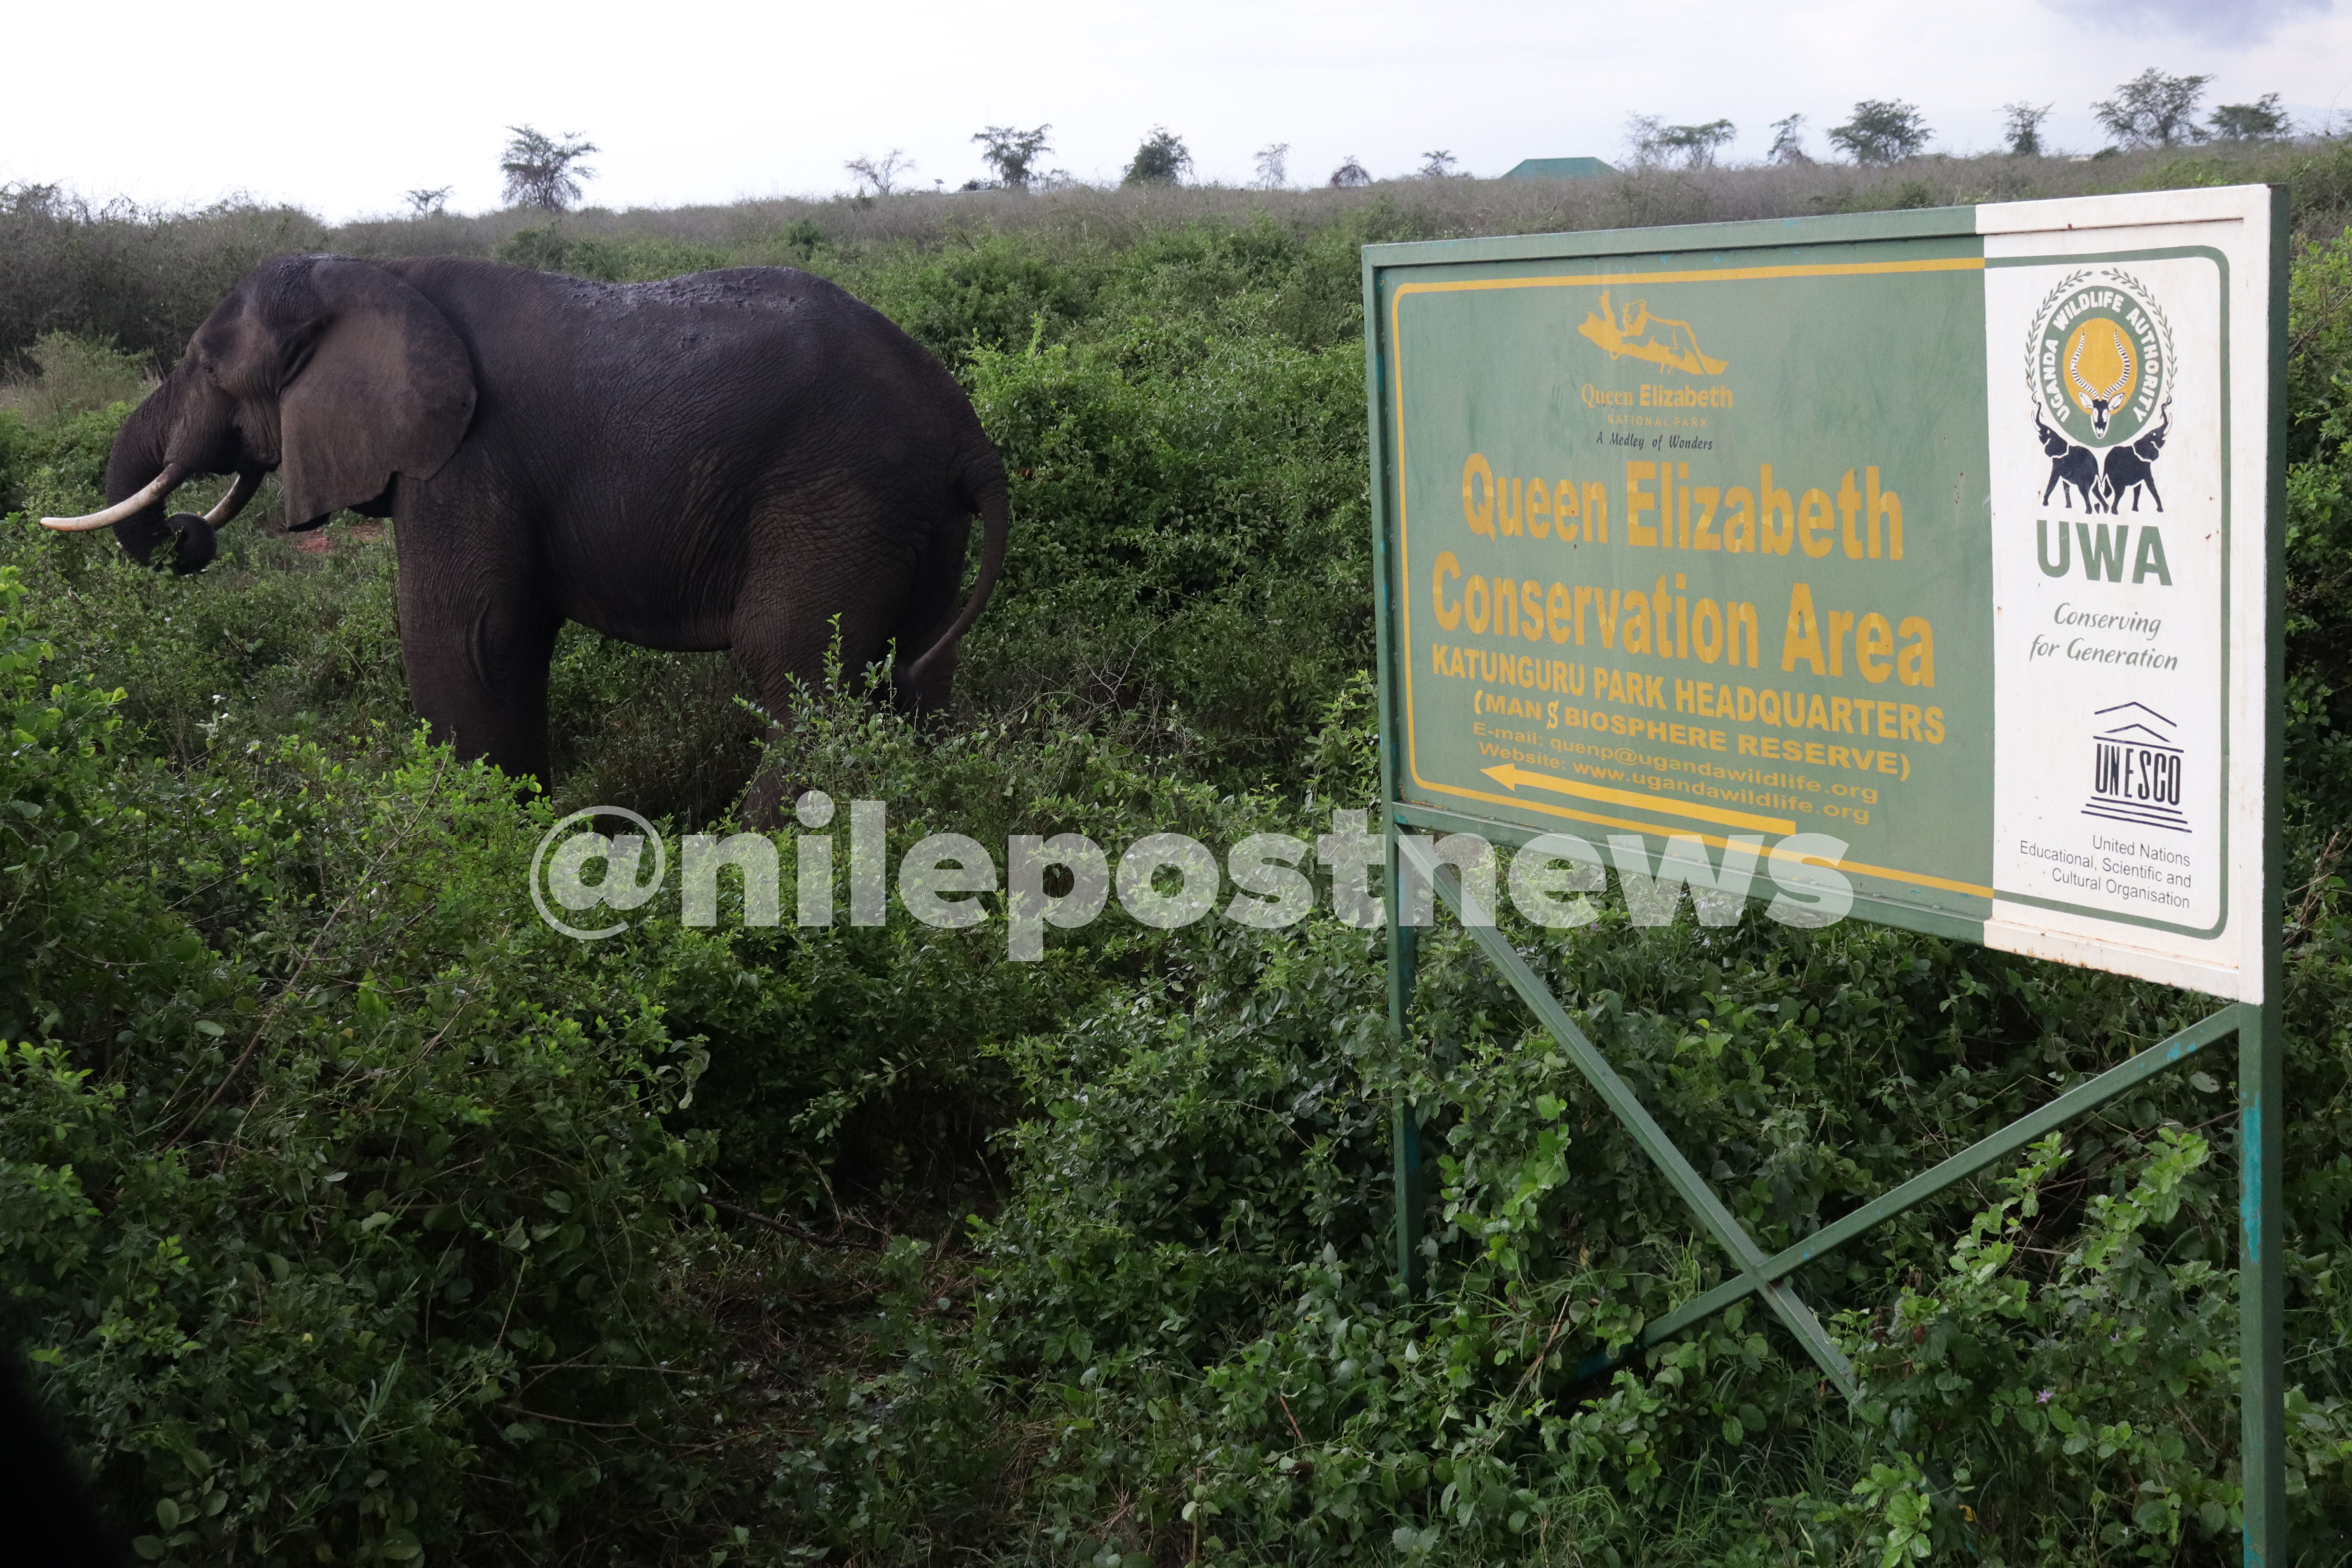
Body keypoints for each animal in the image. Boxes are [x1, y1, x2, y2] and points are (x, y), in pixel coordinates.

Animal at [41, 256, 1007, 804]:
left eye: (207, 365)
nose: (184, 536)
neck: (378, 269)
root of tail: (968, 436)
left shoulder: (468, 455)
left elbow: (463, 636)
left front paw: (482, 848)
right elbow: (507, 637)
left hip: (838, 500)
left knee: (798, 679)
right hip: (913, 521)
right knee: (916, 678)